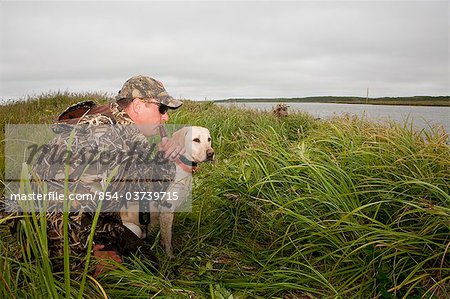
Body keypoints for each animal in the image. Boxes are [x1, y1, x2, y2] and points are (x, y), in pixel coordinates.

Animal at [121, 126, 214, 258]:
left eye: (209, 139)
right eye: (196, 140)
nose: (211, 153)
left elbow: (164, 234)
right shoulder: (166, 210)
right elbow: (168, 238)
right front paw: (170, 257)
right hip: (134, 229)